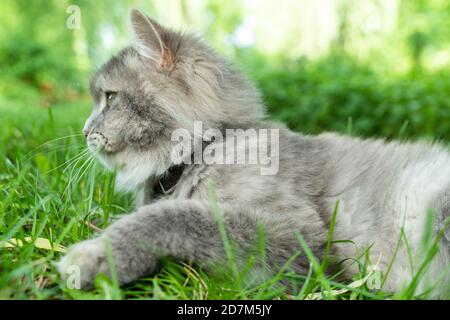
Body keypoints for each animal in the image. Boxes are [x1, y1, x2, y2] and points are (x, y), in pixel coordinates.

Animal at [58, 8, 448, 296]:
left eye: (110, 98)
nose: (85, 131)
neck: (211, 146)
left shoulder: (303, 238)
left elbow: (177, 217)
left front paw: (94, 255)